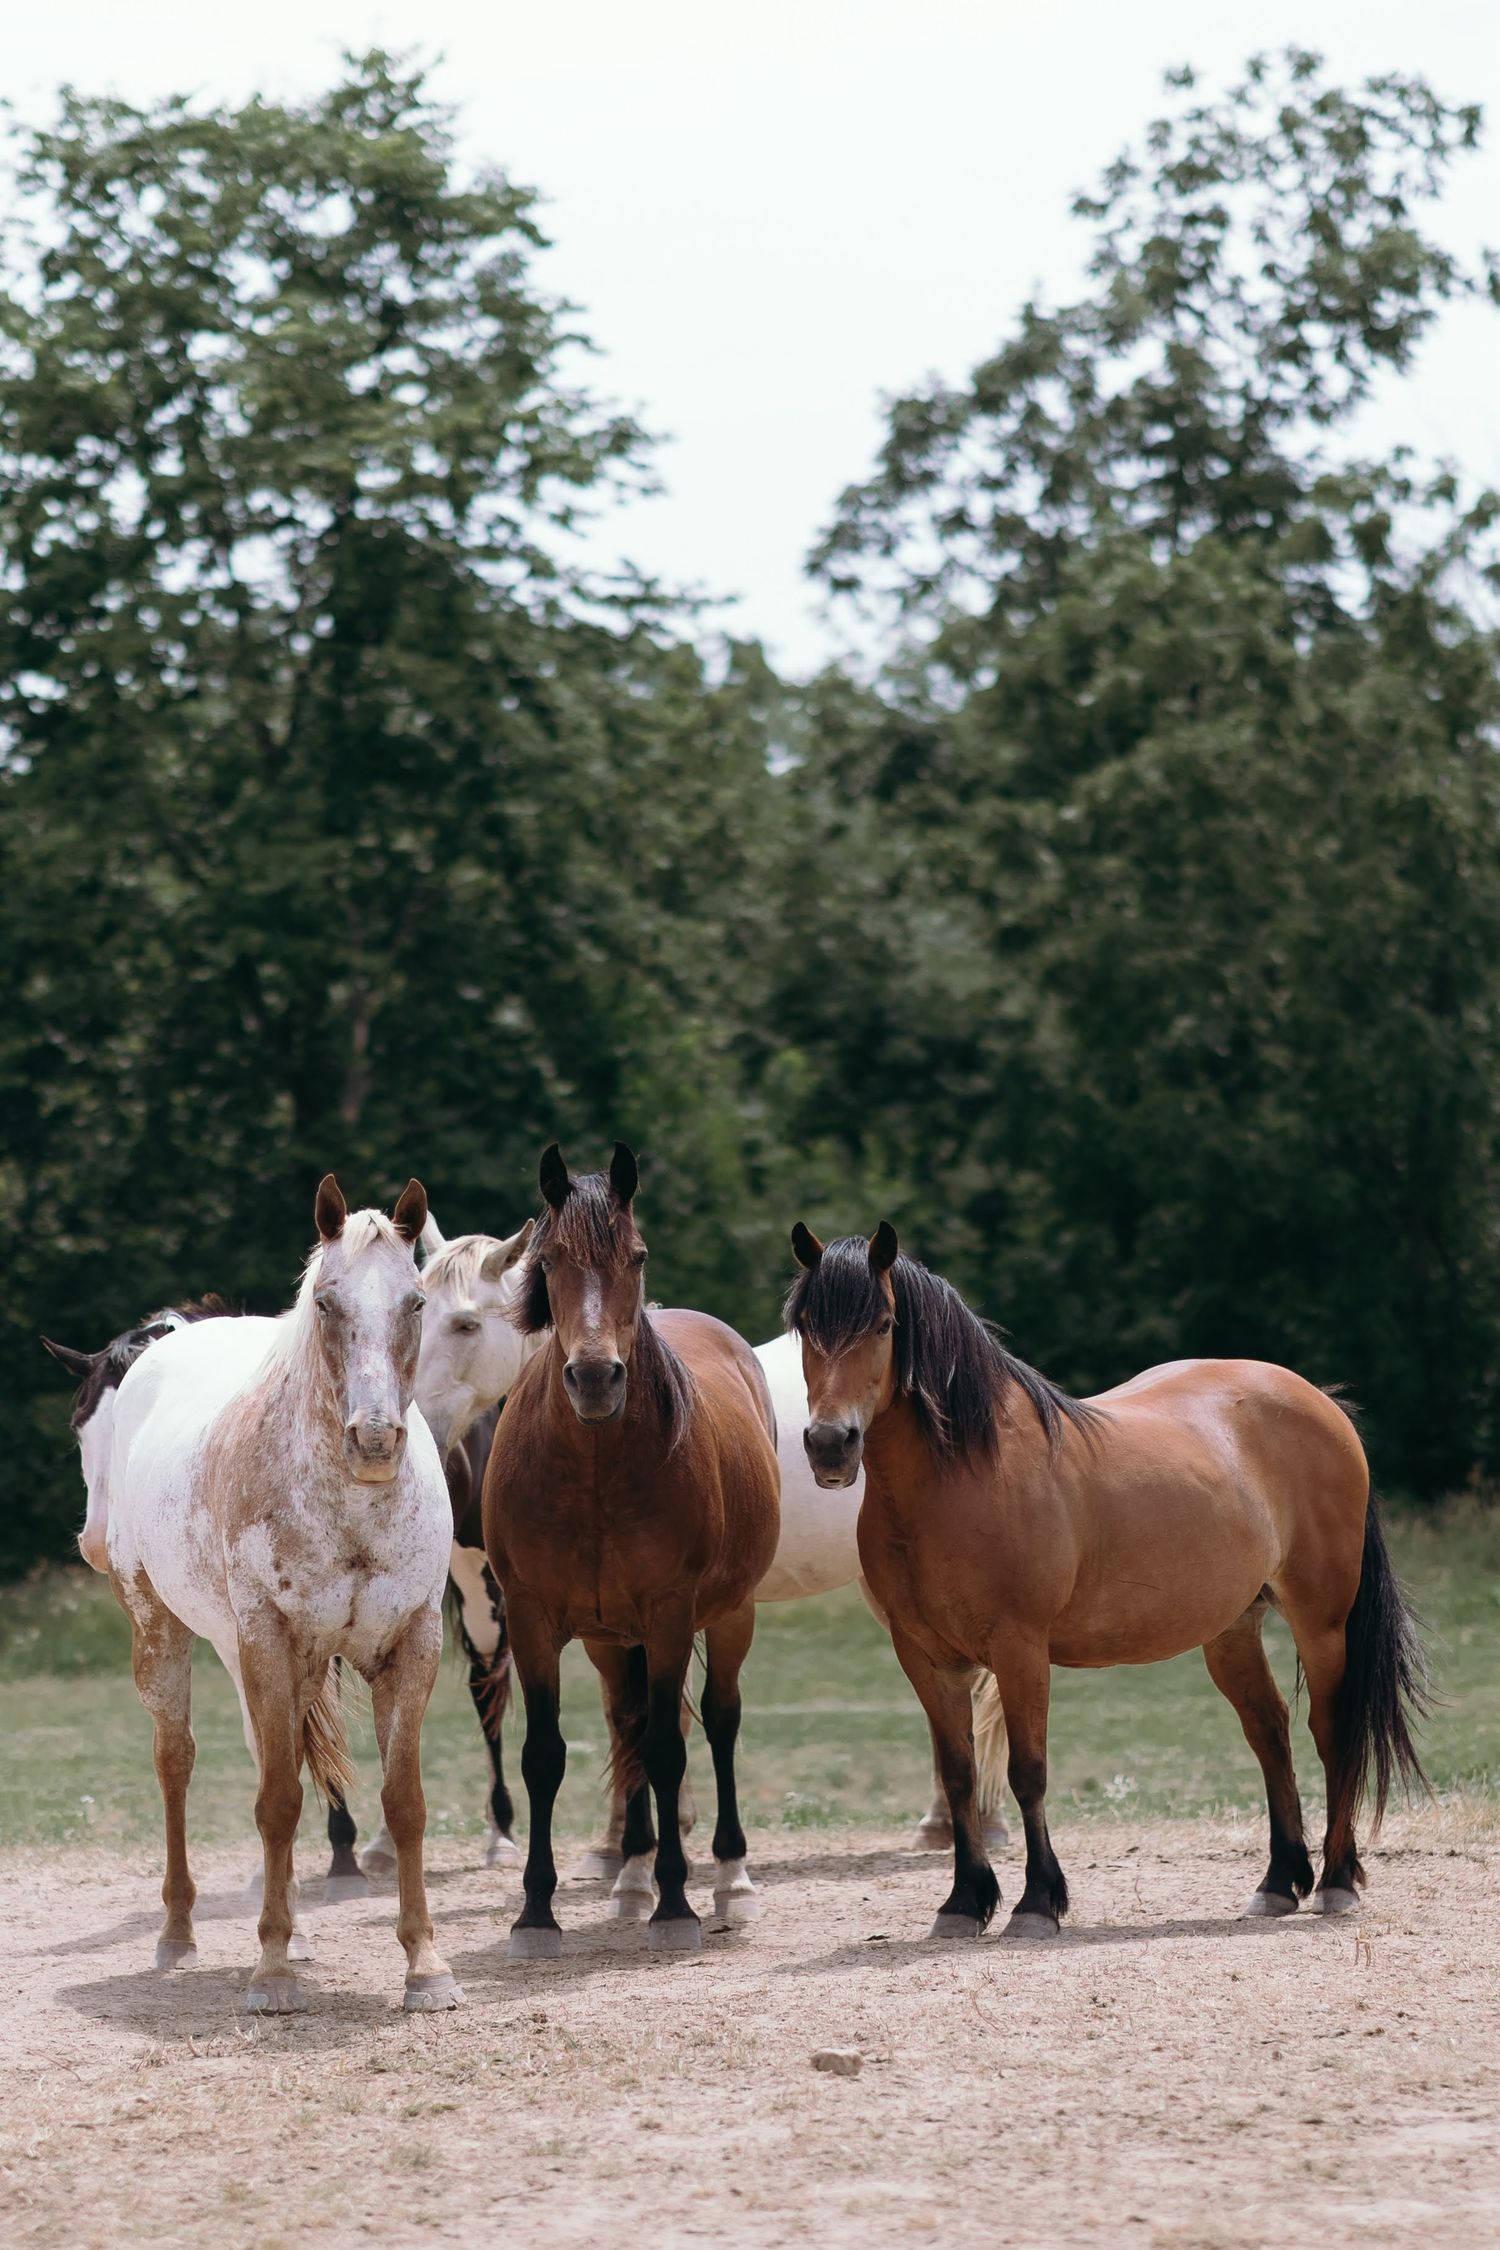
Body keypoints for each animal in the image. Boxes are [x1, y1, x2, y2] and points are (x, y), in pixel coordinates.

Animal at [103, 1176, 462, 2013]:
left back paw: (294, 1931)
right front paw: (268, 1972)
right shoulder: (266, 1639)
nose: (374, 1439)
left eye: (415, 1302)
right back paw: (179, 1932)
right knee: (176, 1761)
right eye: (326, 1302)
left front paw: (425, 1965)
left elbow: (404, 1803)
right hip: (163, 1631)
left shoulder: (412, 1643)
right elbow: (276, 1802)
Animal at [483, 1143, 780, 1956]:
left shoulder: (672, 1614)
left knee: (716, 1720)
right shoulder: (534, 1621)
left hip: (730, 1614)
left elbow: (673, 1747)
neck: (592, 1474)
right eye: (550, 1260)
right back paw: (633, 1875)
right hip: (611, 1640)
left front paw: (676, 1907)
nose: (594, 1377)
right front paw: (536, 1913)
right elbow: (546, 1755)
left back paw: (729, 1880)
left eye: (637, 1255)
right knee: (629, 1724)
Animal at [786, 1222, 1430, 1942]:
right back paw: (1277, 1883)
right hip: (1232, 1630)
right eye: (804, 1326)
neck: (960, 1477)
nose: (830, 1444)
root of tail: (1325, 1404)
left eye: (883, 1323)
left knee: (1332, 1730)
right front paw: (962, 1903)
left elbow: (1027, 1772)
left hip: (1322, 1622)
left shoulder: (1019, 1649)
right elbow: (958, 1777)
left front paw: (1037, 1902)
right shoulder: (926, 1657)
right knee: (1269, 1732)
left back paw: (1338, 1881)